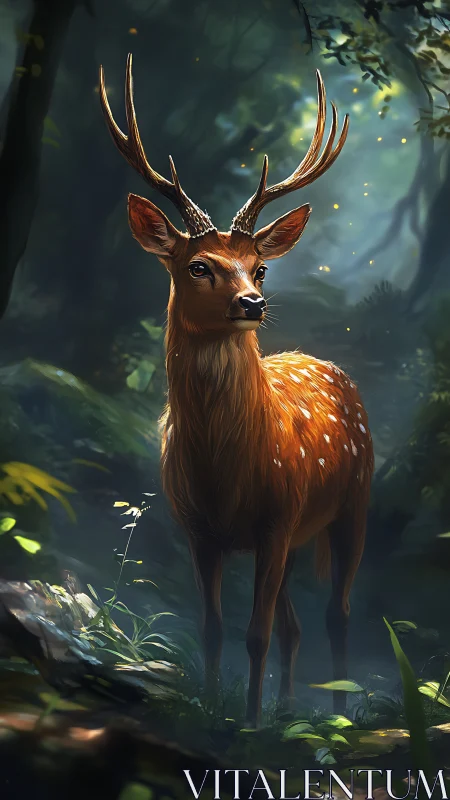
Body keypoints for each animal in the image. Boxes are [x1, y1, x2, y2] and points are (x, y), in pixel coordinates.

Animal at [99, 54, 374, 728]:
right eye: (198, 266)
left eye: (261, 267)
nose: (253, 302)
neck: (227, 472)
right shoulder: (200, 531)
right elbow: (215, 629)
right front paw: (213, 708)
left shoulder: (277, 518)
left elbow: (255, 633)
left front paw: (247, 726)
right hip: (298, 535)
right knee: (295, 625)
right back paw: (287, 709)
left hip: (353, 501)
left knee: (337, 614)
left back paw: (337, 714)